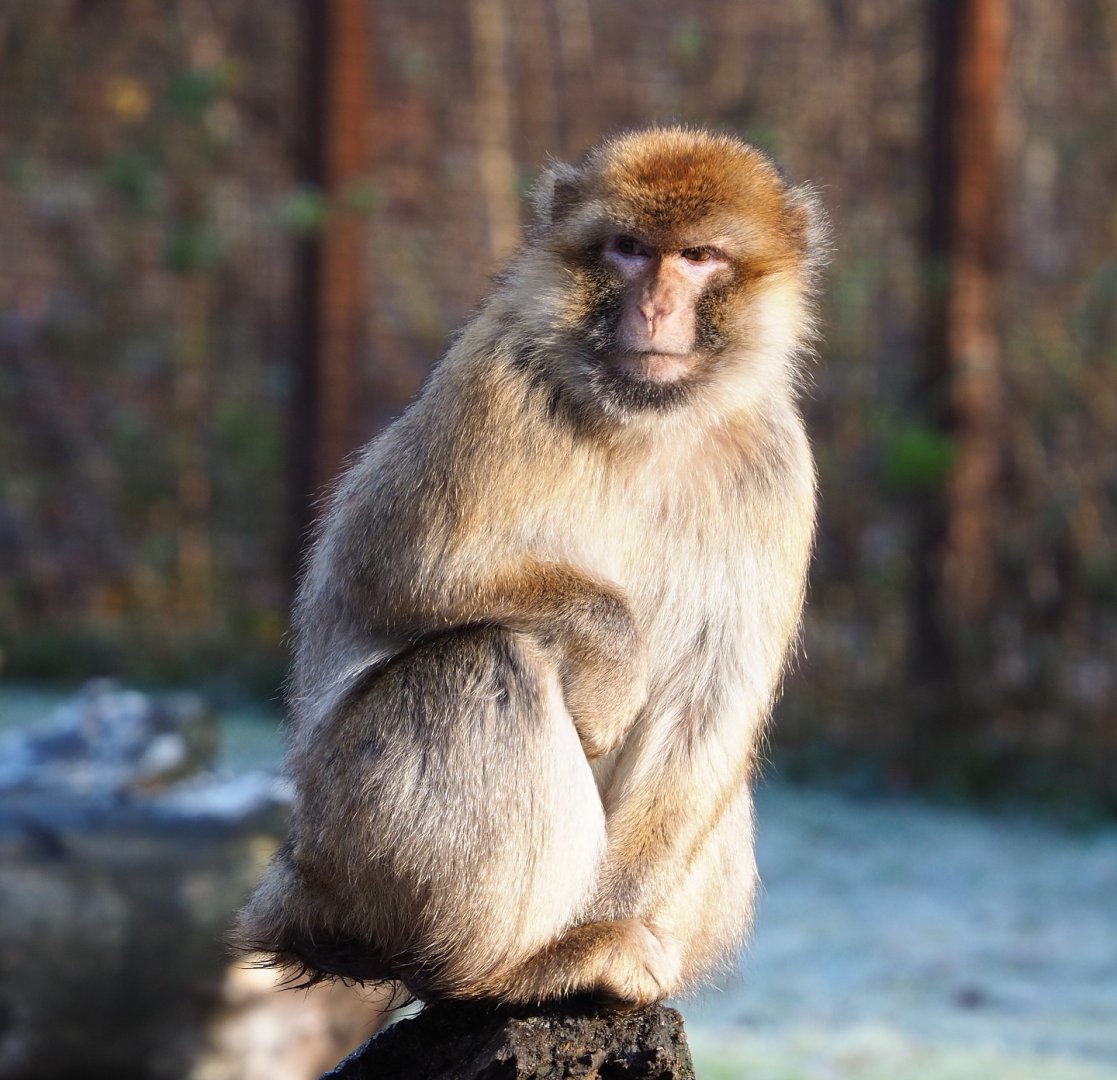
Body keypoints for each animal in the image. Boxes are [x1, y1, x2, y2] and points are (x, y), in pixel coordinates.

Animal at [233, 126, 826, 1009]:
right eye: (626, 249)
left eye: (697, 256)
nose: (655, 306)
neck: (647, 423)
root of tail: (296, 872)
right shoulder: (496, 385)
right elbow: (402, 567)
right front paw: (611, 659)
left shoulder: (776, 465)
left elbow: (705, 710)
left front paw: (609, 917)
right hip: (353, 845)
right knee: (481, 659)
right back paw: (506, 968)